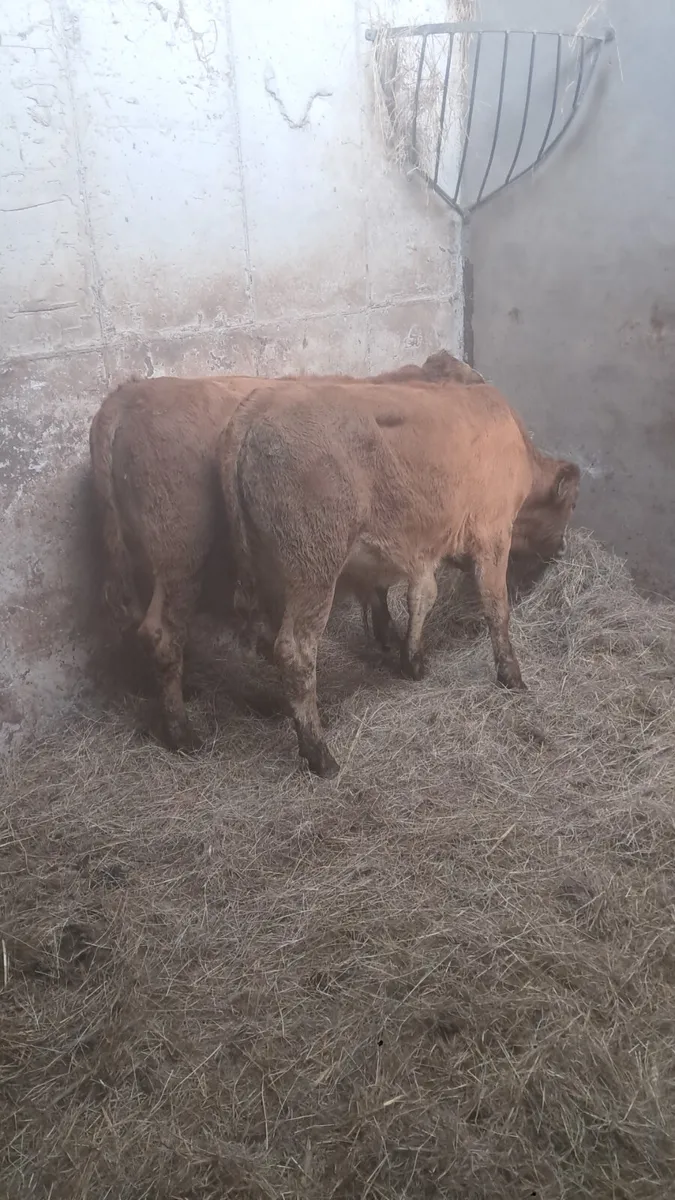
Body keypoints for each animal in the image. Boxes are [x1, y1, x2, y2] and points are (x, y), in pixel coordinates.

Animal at [89, 351, 483, 751]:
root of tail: (123, 399)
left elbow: (377, 589)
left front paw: (386, 633)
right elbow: (402, 590)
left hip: (141, 559)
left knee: (140, 624)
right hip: (180, 556)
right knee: (164, 635)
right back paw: (184, 731)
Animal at [219, 379, 580, 778]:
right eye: (571, 504)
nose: (562, 549)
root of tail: (255, 408)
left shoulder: (424, 548)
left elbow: (421, 596)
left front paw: (412, 659)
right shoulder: (491, 533)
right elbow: (495, 608)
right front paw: (511, 675)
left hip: (265, 573)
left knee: (264, 639)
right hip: (314, 570)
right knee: (295, 651)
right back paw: (319, 753)